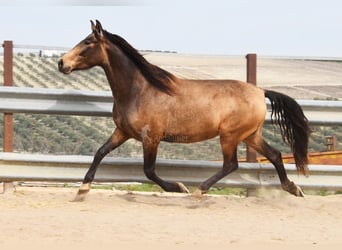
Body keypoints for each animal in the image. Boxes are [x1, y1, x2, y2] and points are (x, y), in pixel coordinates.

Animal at [58, 19, 310, 201]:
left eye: (87, 42)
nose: (62, 63)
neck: (139, 90)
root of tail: (260, 91)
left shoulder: (151, 137)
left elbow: (148, 170)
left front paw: (179, 187)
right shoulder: (123, 132)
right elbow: (100, 152)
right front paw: (82, 189)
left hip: (230, 136)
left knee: (232, 164)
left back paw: (198, 190)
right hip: (250, 136)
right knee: (275, 155)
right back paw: (293, 188)